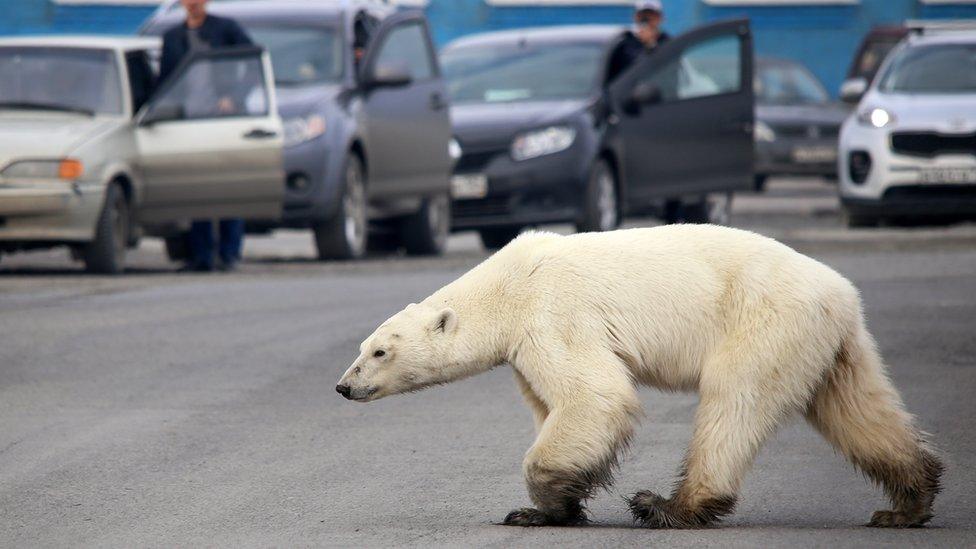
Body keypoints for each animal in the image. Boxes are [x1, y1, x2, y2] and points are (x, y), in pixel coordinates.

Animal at [336, 224, 936, 528]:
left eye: (380, 351)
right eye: (362, 348)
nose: (344, 385)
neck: (506, 284)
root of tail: (842, 293)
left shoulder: (553, 313)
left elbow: (594, 395)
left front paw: (541, 504)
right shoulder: (526, 345)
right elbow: (552, 406)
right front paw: (553, 506)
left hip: (764, 321)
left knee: (732, 402)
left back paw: (669, 506)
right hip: (830, 343)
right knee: (857, 409)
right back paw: (906, 502)